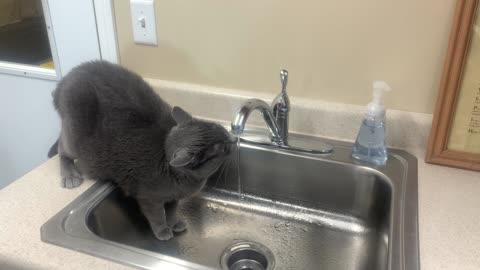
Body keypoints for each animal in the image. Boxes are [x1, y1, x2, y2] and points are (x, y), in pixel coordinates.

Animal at [48, 61, 234, 240]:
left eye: (220, 128)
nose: (233, 139)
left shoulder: (173, 198)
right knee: (62, 148)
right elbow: (157, 215)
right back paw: (69, 175)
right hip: (74, 136)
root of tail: (68, 77)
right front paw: (162, 230)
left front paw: (174, 223)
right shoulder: (149, 198)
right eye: (220, 147)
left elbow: (172, 211)